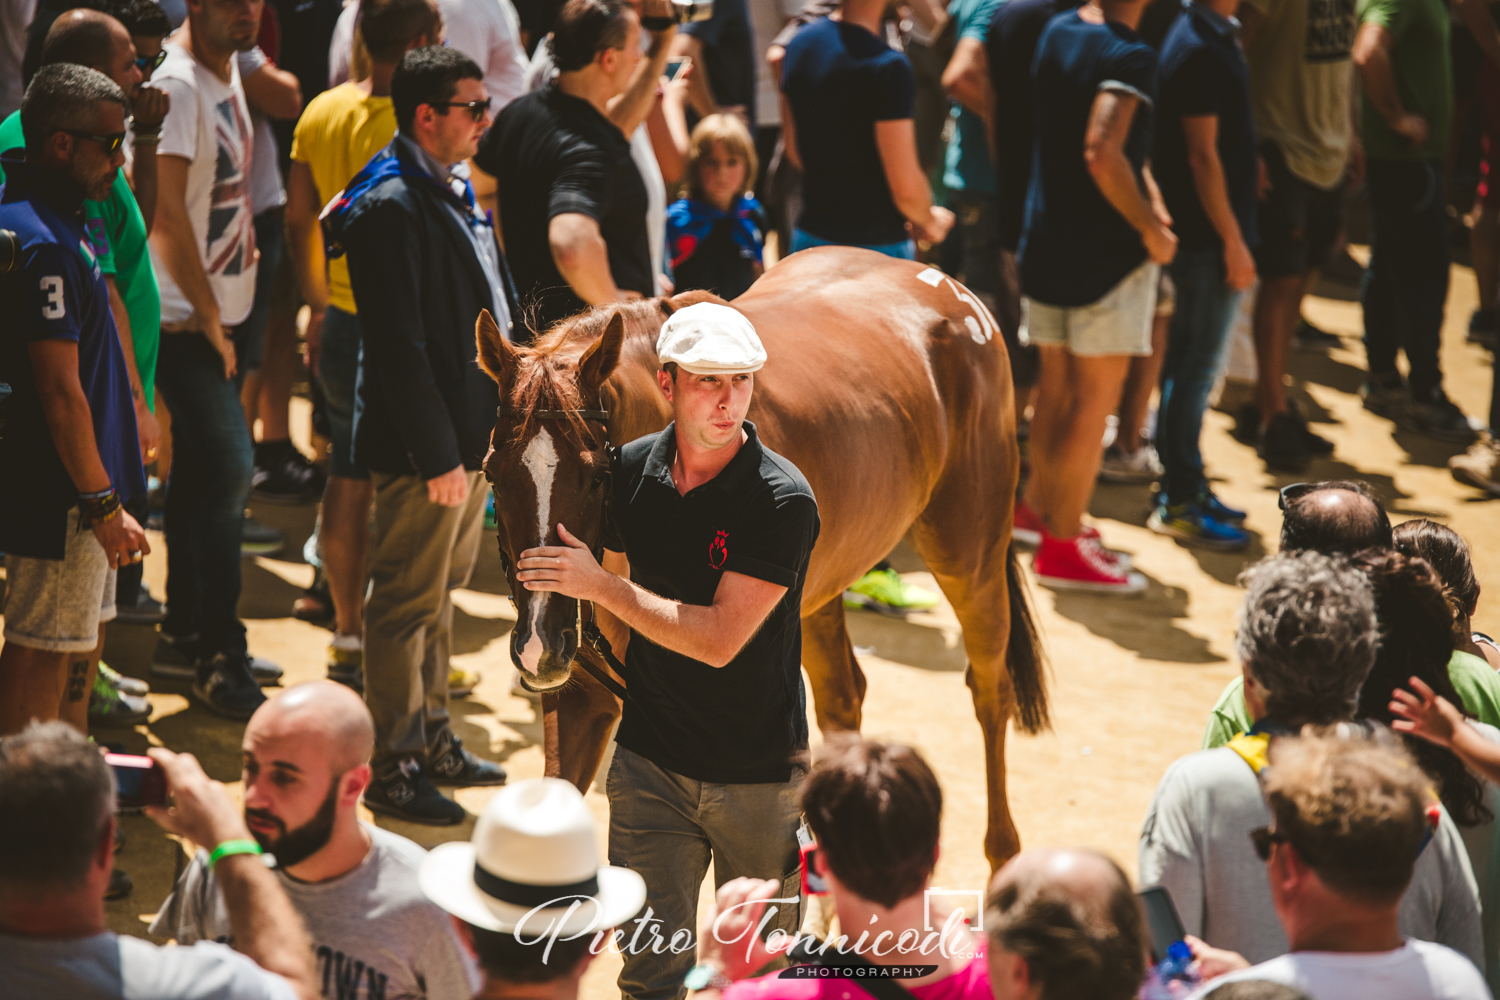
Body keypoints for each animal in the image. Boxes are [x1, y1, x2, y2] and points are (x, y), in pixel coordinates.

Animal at [477, 244, 1044, 869]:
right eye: (493, 475)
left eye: (598, 475)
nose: (538, 643)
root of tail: (953, 290)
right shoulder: (583, 690)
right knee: (844, 694)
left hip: (970, 557)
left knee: (990, 690)